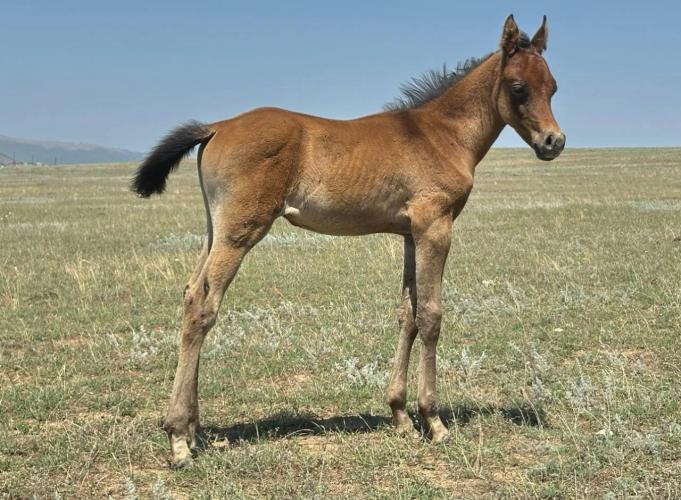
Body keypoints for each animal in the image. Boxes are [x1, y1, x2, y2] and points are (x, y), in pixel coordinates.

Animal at [132, 14, 564, 468]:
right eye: (518, 87)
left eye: (553, 87)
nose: (554, 142)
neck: (441, 134)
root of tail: (217, 127)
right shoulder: (435, 228)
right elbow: (431, 316)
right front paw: (433, 420)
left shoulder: (410, 234)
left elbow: (407, 314)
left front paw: (400, 416)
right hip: (240, 231)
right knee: (203, 305)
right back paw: (179, 439)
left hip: (215, 230)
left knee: (189, 293)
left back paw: (193, 431)